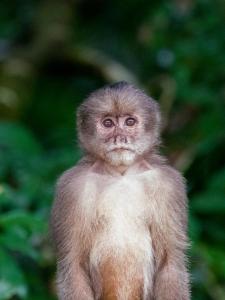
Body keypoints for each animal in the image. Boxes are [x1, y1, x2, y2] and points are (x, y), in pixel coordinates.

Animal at [50, 82, 190, 300]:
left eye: (129, 122)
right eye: (108, 123)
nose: (120, 138)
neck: (120, 175)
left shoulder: (169, 184)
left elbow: (170, 261)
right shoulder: (72, 186)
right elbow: (73, 263)